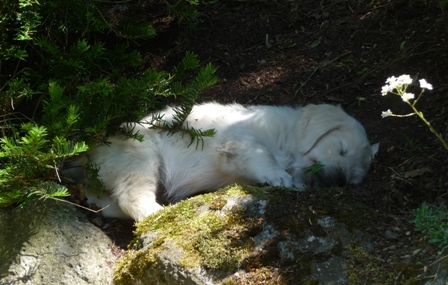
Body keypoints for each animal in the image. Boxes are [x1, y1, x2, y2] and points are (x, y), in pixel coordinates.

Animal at [82, 102, 376, 220]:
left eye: (354, 178)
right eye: (342, 150)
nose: (339, 180)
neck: (289, 144)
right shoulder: (240, 136)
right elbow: (260, 153)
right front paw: (281, 177)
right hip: (139, 156)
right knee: (132, 196)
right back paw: (159, 213)